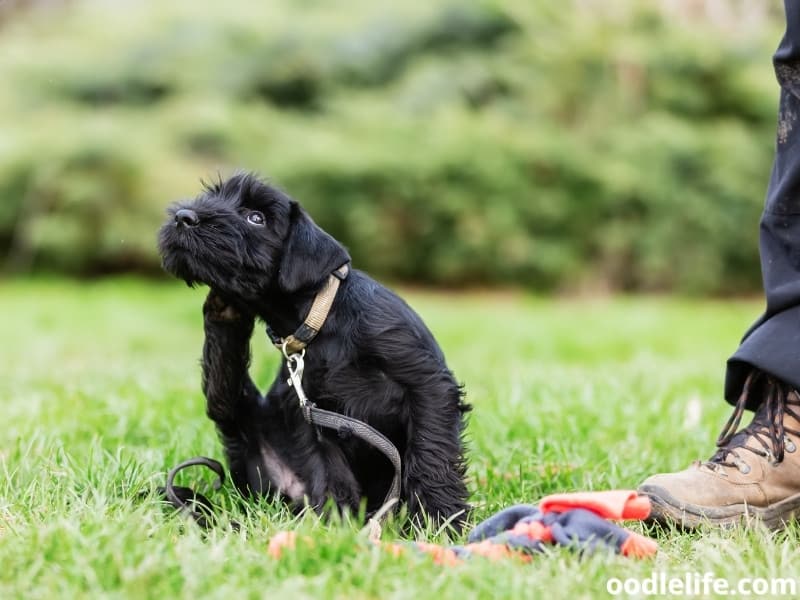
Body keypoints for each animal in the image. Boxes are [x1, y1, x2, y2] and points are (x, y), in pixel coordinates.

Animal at [156, 171, 468, 528]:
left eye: (256, 217)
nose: (183, 217)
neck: (323, 319)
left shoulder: (426, 383)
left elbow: (431, 452)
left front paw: (440, 519)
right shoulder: (306, 412)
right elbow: (328, 468)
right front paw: (340, 524)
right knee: (223, 396)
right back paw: (225, 309)